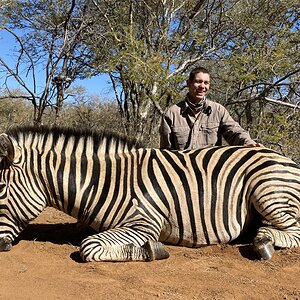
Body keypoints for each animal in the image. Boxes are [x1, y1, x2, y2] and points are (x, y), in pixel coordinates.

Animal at [0, 125, 298, 262]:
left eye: (0, 189)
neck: (108, 182)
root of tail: (286, 159)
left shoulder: (144, 224)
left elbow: (89, 247)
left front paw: (151, 250)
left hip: (266, 190)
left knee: (292, 231)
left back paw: (263, 242)